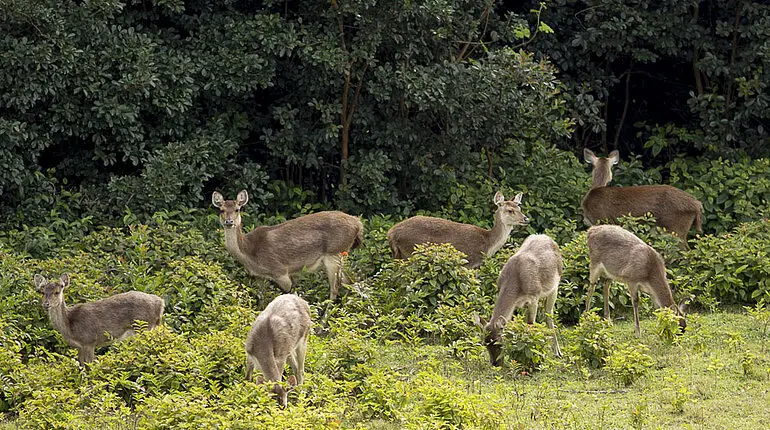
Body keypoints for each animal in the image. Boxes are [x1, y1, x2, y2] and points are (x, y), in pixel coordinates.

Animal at [34, 274, 165, 364]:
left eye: (57, 292)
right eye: (42, 292)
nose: (46, 304)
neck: (70, 326)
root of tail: (160, 303)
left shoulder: (89, 341)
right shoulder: (80, 347)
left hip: (143, 328)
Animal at [210, 190, 364, 300]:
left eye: (237, 209)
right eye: (221, 210)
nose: (229, 222)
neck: (250, 253)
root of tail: (358, 224)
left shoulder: (280, 271)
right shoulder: (259, 277)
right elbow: (261, 301)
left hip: (334, 252)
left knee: (335, 289)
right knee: (351, 282)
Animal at [384, 190, 528, 268]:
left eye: (519, 207)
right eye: (510, 210)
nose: (526, 219)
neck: (487, 244)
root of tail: (391, 233)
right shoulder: (468, 261)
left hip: (399, 255)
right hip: (412, 252)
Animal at [472, 233, 560, 368]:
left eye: (499, 343)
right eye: (484, 343)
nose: (495, 364)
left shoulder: (534, 297)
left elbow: (530, 324)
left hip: (555, 286)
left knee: (548, 315)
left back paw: (557, 352)